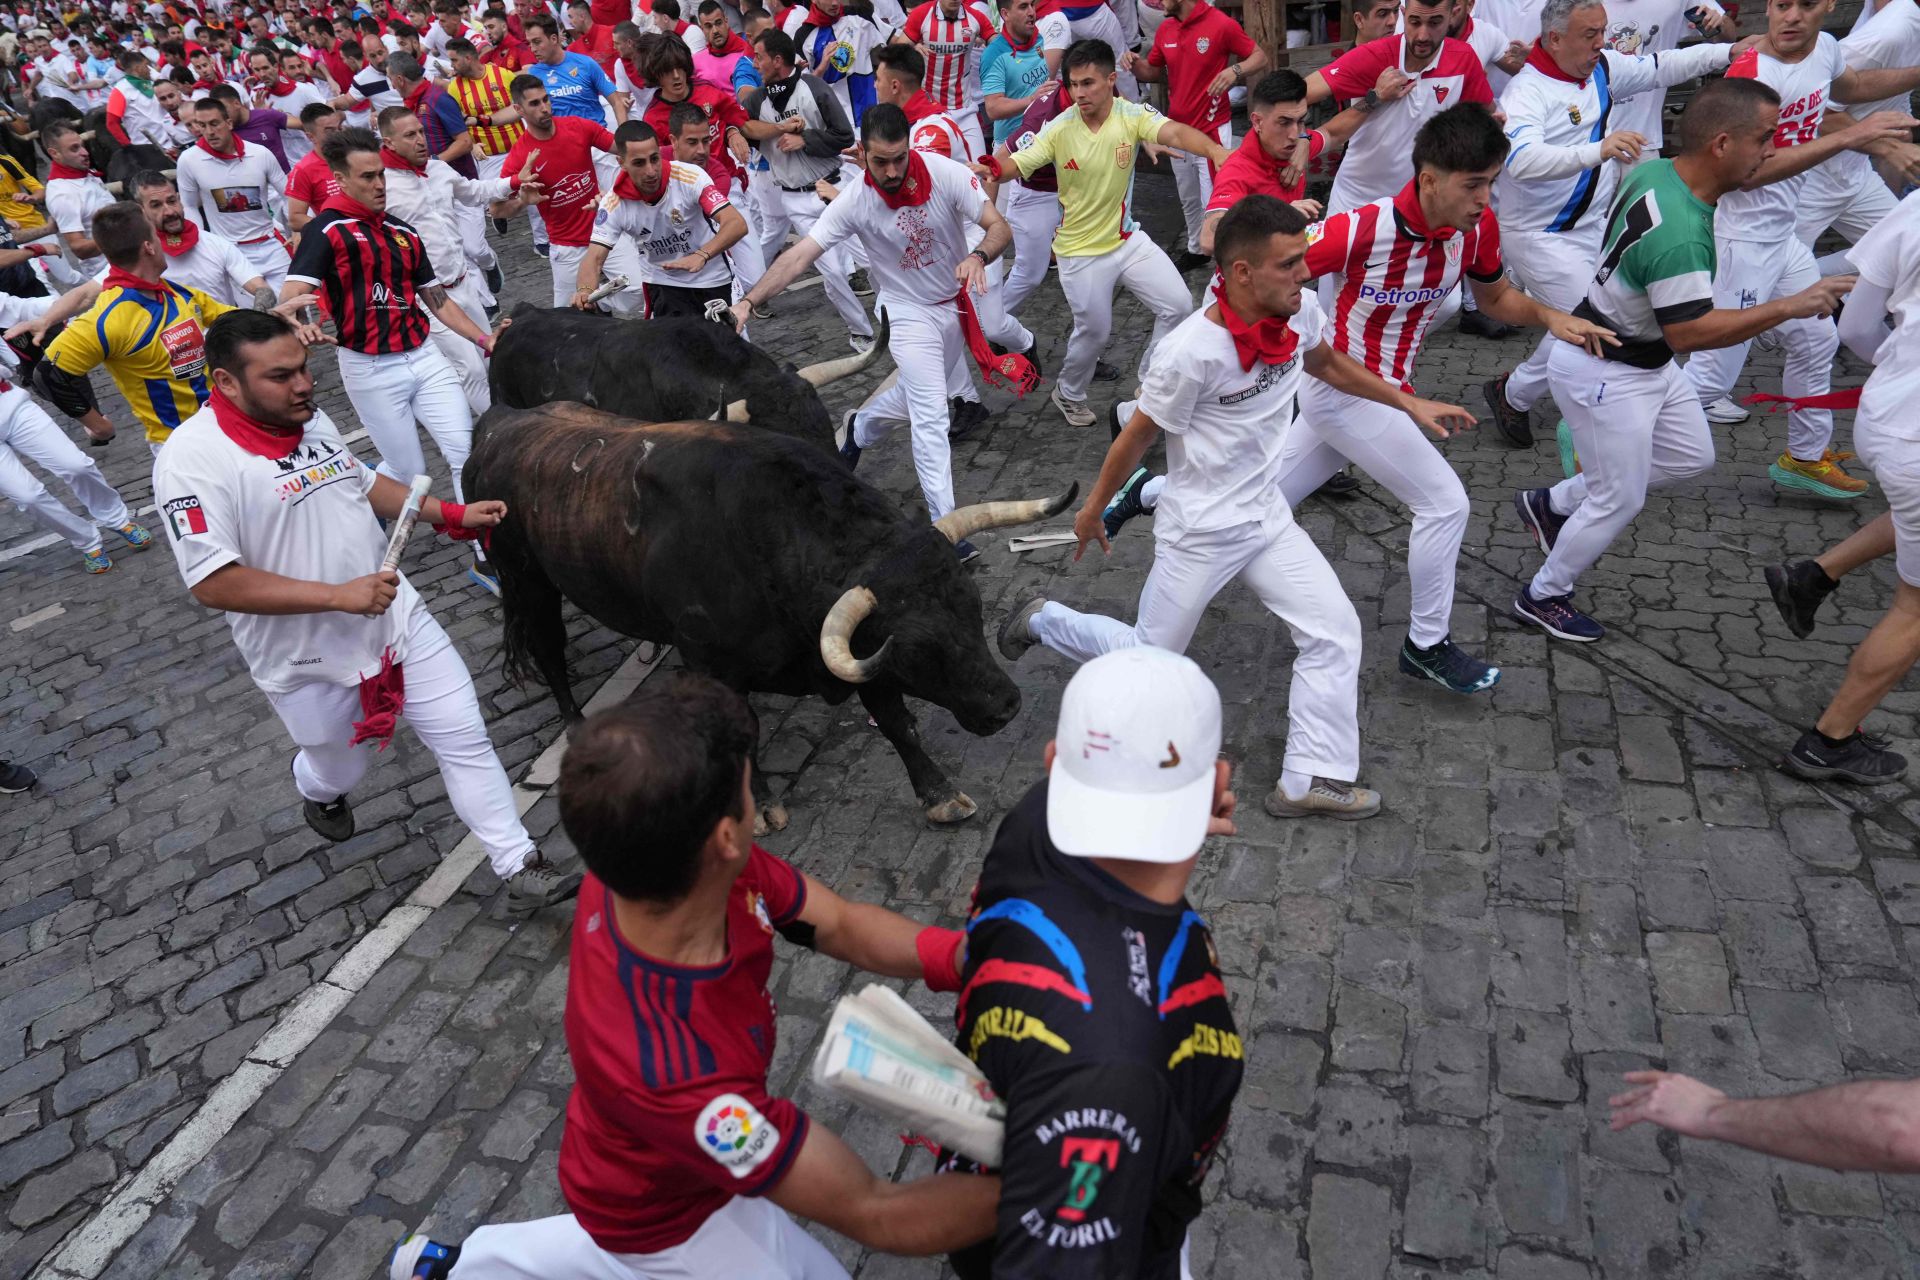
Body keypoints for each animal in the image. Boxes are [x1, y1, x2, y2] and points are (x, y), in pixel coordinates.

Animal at [458, 408, 1075, 832]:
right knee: (548, 648)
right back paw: (575, 722)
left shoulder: (860, 654)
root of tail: (499, 425)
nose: (1005, 704)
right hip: (528, 581)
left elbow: (899, 722)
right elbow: (745, 728)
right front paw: (755, 809)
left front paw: (940, 796)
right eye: (918, 645)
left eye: (972, 604)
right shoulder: (714, 664)